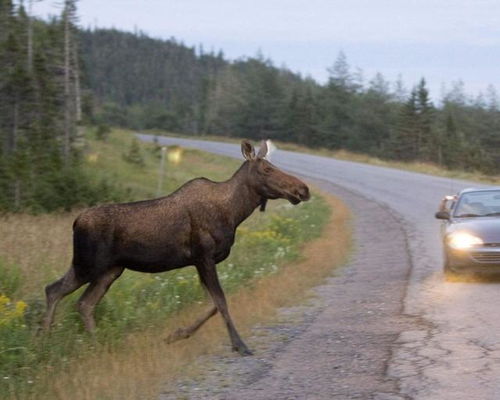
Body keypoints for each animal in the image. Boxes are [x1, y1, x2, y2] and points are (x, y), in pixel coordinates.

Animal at [42, 139, 308, 354]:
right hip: (88, 264)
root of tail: (76, 222)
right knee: (54, 290)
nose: (303, 189)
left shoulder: (201, 262)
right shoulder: (203, 256)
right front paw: (240, 345)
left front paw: (176, 335)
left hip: (110, 270)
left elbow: (211, 304)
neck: (234, 213)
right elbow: (221, 301)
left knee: (83, 303)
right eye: (267, 169)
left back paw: (92, 346)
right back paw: (44, 341)